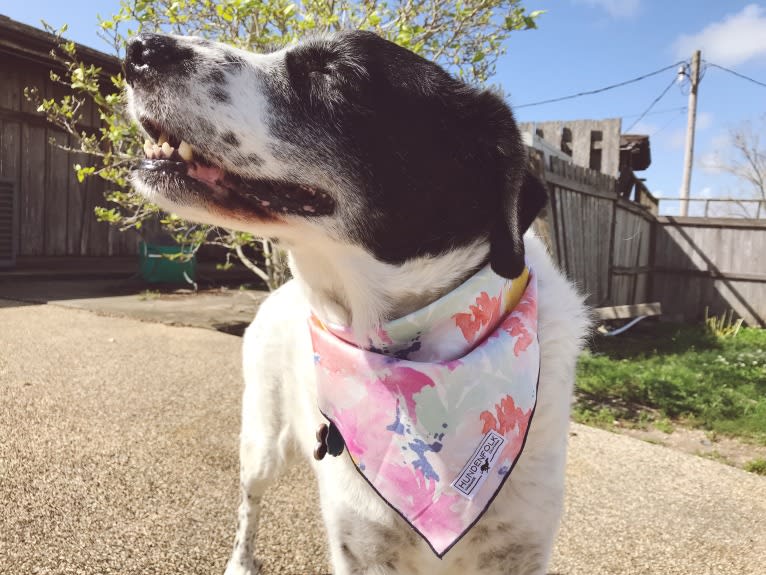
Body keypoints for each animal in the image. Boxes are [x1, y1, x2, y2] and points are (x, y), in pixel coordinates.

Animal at [124, 31, 588, 575]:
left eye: (337, 74)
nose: (140, 47)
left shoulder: (520, 549)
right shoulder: (362, 547)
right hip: (262, 441)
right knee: (250, 501)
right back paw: (241, 561)